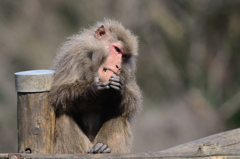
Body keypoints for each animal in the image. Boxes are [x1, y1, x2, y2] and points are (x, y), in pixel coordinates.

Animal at [49, 19, 142, 154]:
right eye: (117, 50)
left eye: (125, 56)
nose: (118, 66)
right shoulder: (73, 54)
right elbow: (59, 93)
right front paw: (94, 89)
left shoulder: (126, 73)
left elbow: (132, 103)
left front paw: (120, 92)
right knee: (63, 114)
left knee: (120, 112)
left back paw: (103, 147)